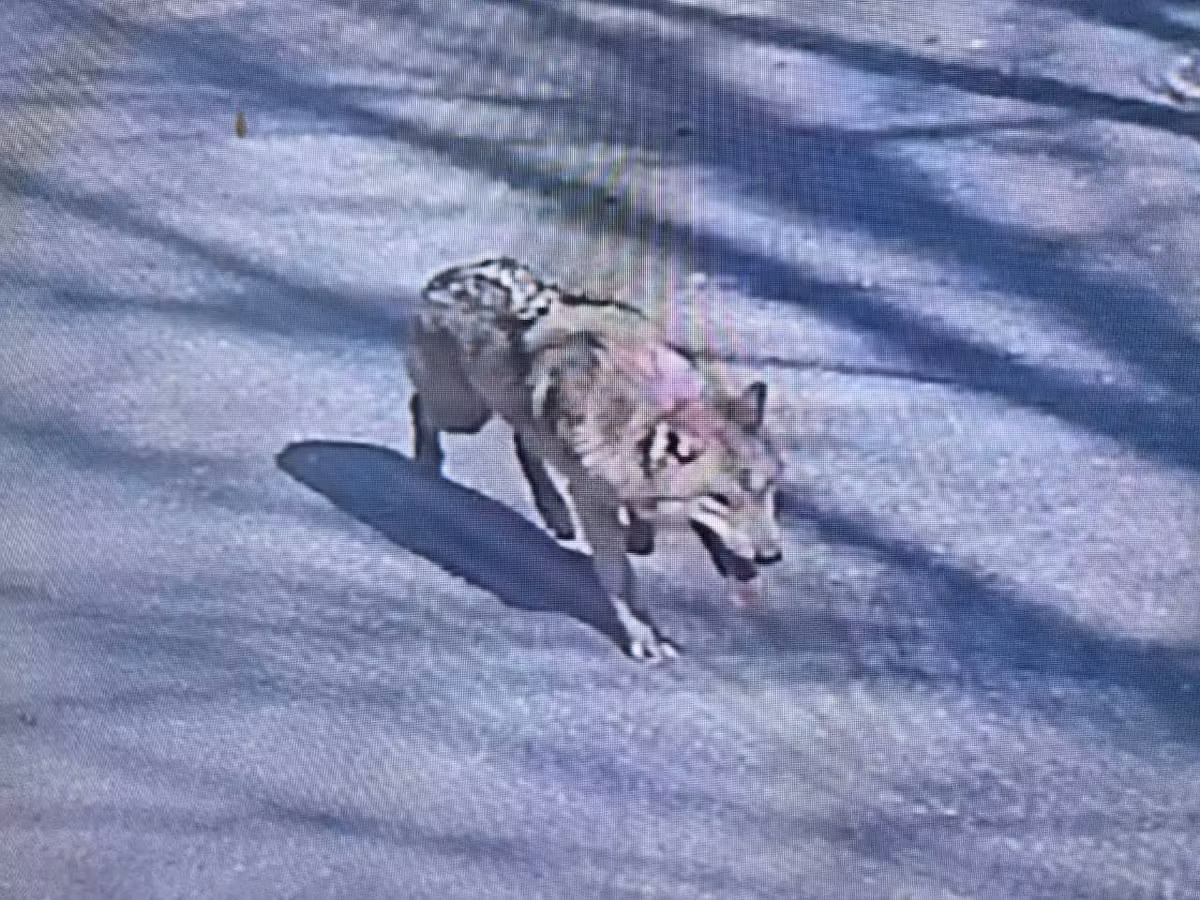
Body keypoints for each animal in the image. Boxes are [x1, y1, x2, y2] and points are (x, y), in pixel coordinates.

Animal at [405, 257, 784, 661]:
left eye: (766, 490)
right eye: (721, 499)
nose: (771, 557)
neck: (656, 408)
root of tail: (450, 275)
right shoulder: (592, 501)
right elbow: (621, 579)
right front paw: (646, 639)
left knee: (524, 442)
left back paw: (555, 513)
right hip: (464, 414)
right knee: (421, 407)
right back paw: (427, 467)